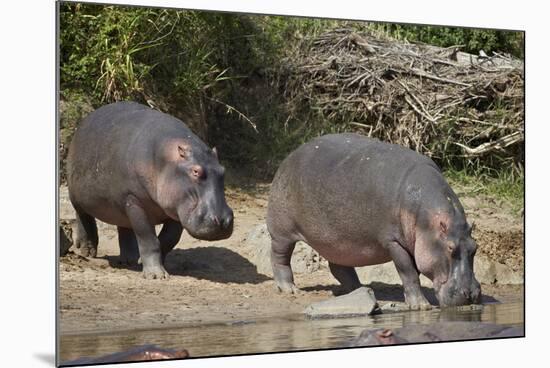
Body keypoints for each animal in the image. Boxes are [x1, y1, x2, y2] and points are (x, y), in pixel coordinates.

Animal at [67, 100, 235, 278]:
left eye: (223, 170)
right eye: (195, 171)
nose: (223, 221)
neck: (166, 161)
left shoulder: (175, 208)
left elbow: (169, 239)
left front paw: (145, 262)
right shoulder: (134, 200)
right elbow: (148, 239)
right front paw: (156, 275)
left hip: (121, 204)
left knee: (124, 228)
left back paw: (130, 260)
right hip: (79, 197)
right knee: (84, 218)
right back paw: (87, 251)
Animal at [268, 132, 484, 308]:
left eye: (475, 247)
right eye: (450, 248)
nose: (471, 294)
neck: (428, 223)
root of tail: (289, 156)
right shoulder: (394, 242)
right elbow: (408, 272)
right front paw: (421, 306)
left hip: (337, 241)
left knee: (339, 266)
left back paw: (358, 289)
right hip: (282, 232)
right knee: (280, 257)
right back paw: (290, 289)